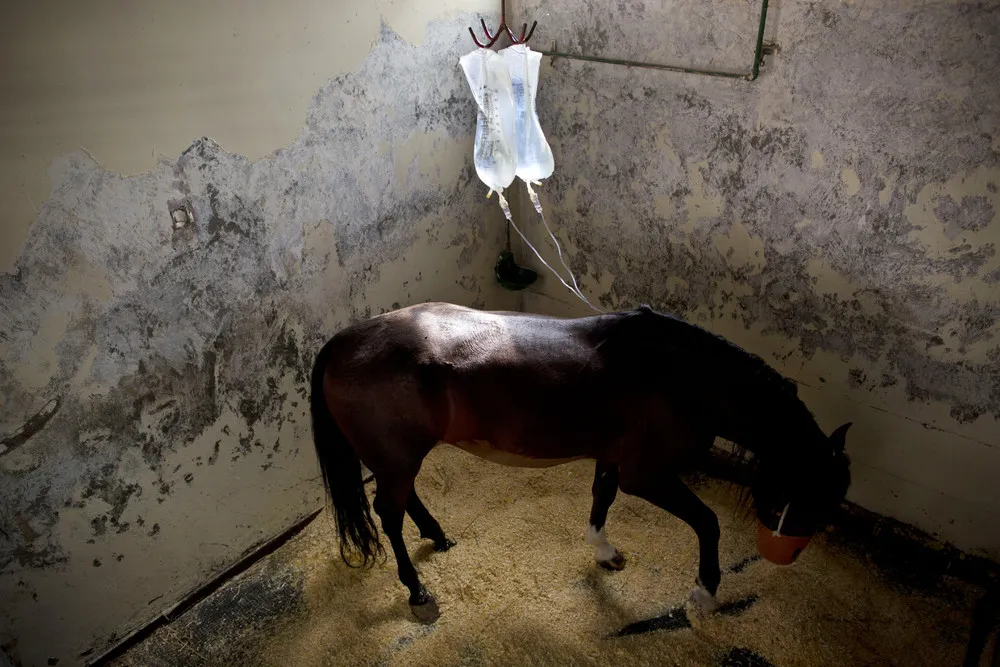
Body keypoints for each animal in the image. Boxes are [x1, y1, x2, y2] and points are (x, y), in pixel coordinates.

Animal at [309, 302, 852, 623]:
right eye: (802, 491)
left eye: (829, 496)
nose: (783, 553)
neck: (680, 376)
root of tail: (340, 343)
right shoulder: (647, 475)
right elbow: (707, 522)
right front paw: (704, 592)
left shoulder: (611, 457)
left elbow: (602, 498)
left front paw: (604, 552)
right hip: (397, 458)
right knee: (388, 514)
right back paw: (417, 591)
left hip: (399, 457)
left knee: (405, 500)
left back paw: (438, 536)